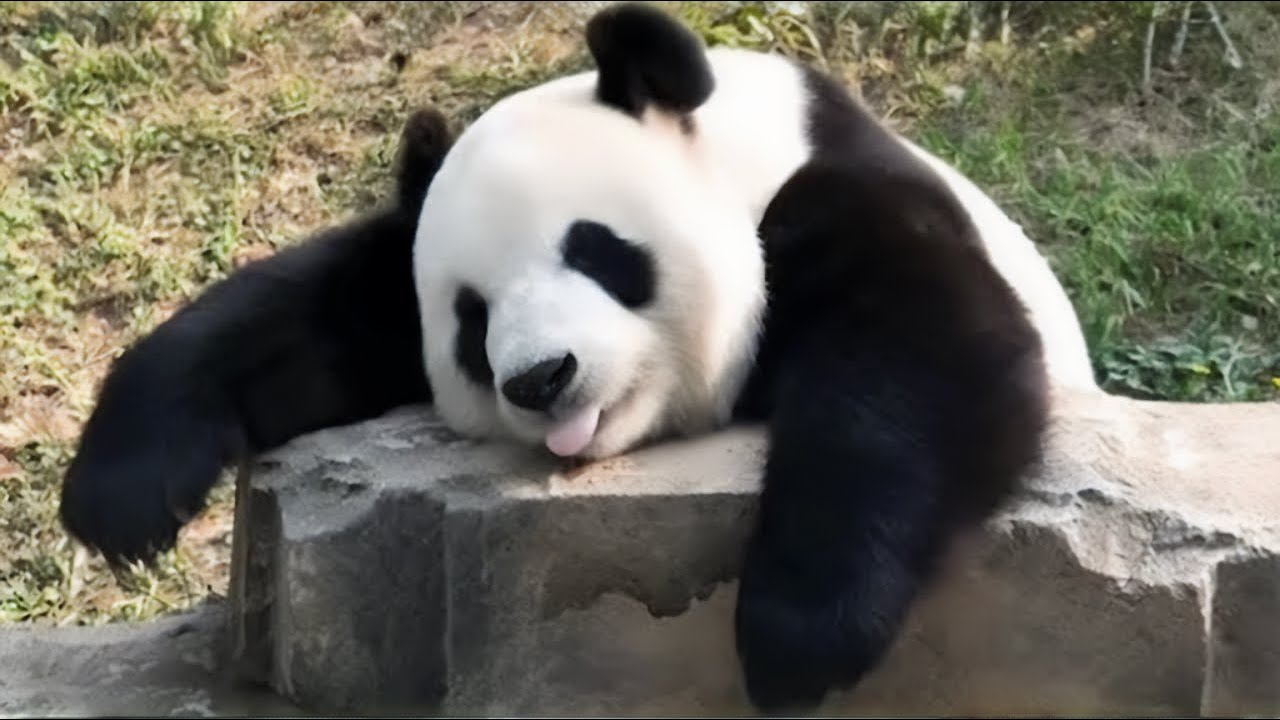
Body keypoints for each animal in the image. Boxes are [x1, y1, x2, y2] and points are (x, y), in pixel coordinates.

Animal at [59, 3, 1098, 714]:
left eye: (596, 250)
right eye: (471, 321)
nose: (539, 378)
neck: (733, 146)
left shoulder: (834, 189)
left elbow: (928, 359)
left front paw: (800, 633)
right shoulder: (395, 280)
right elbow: (305, 312)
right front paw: (120, 496)